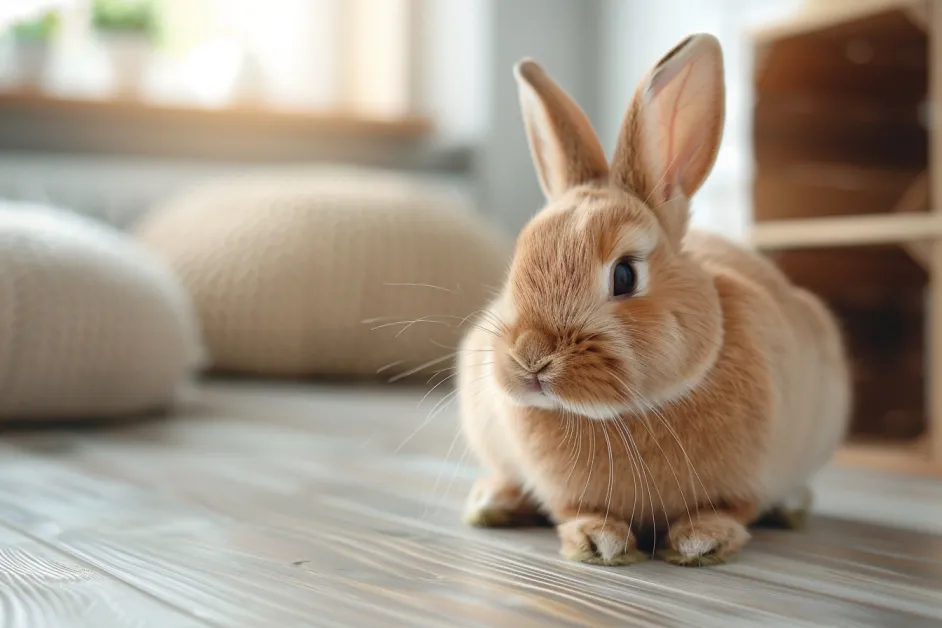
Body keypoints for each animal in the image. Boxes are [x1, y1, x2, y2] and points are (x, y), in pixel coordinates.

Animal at [458, 31, 856, 568]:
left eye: (625, 275)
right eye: (516, 264)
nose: (531, 358)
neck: (628, 416)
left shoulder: (746, 483)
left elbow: (730, 509)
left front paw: (701, 541)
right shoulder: (564, 493)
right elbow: (577, 510)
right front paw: (597, 541)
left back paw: (791, 509)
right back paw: (492, 501)